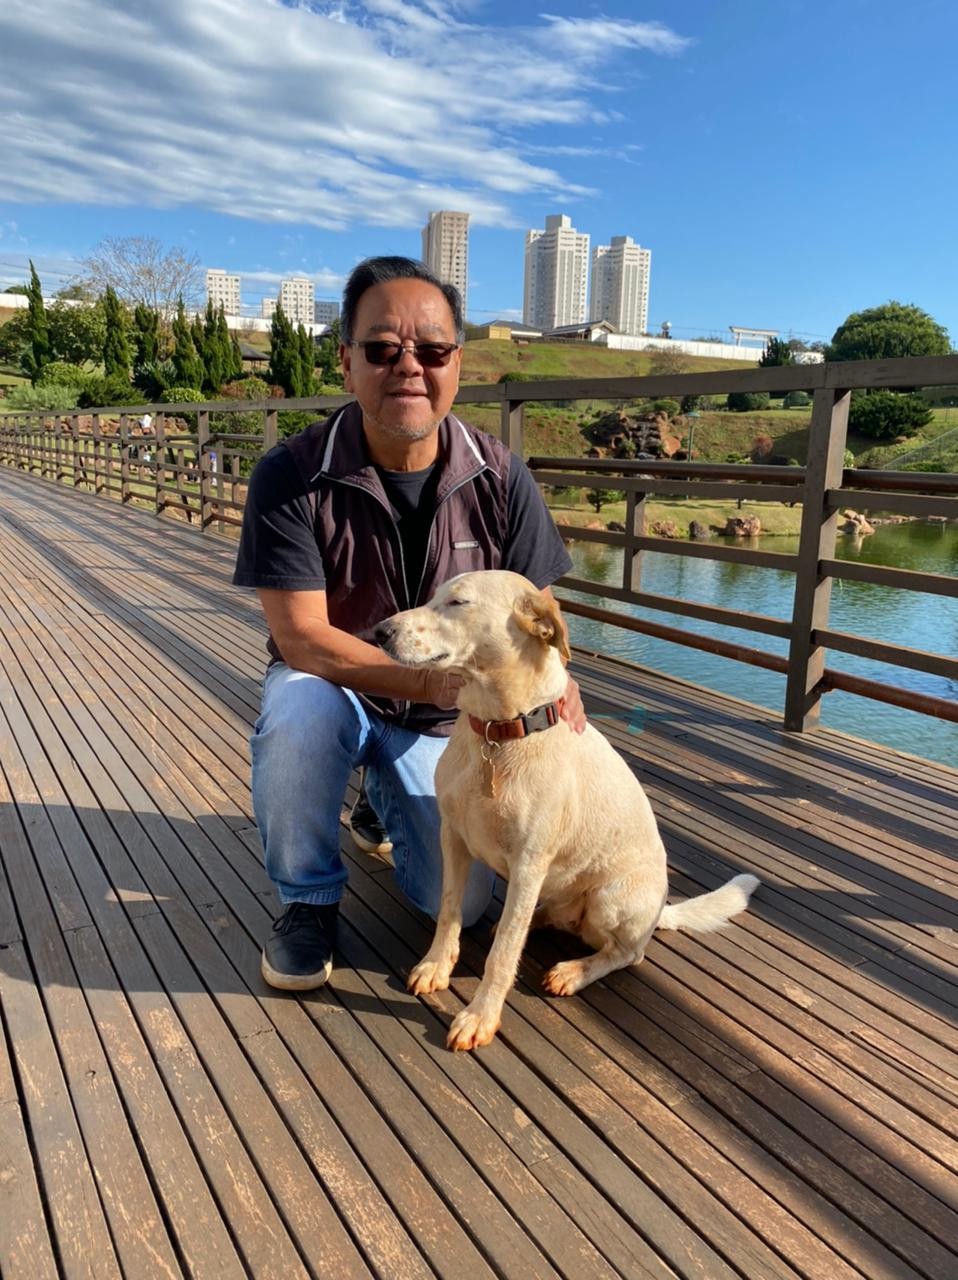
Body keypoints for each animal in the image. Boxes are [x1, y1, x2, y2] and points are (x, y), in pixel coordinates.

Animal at [379, 570, 758, 1049]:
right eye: (433, 597)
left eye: (458, 602)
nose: (380, 631)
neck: (498, 736)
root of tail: (660, 910)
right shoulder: (453, 837)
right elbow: (449, 911)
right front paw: (436, 966)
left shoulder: (528, 864)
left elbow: (503, 952)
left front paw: (481, 1016)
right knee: (542, 920)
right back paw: (541, 921)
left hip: (610, 899)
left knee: (628, 953)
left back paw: (574, 971)